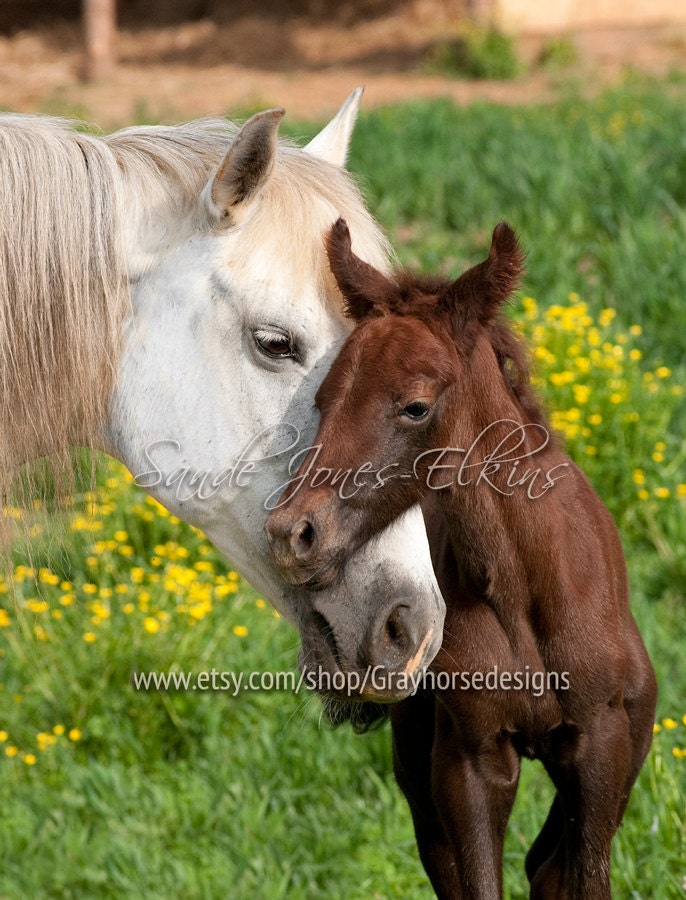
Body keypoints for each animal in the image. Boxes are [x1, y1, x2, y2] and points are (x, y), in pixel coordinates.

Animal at [265, 219, 657, 897]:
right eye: (323, 398)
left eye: (415, 405)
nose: (294, 533)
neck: (522, 588)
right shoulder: (468, 761)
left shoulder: (602, 749)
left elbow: (583, 876)